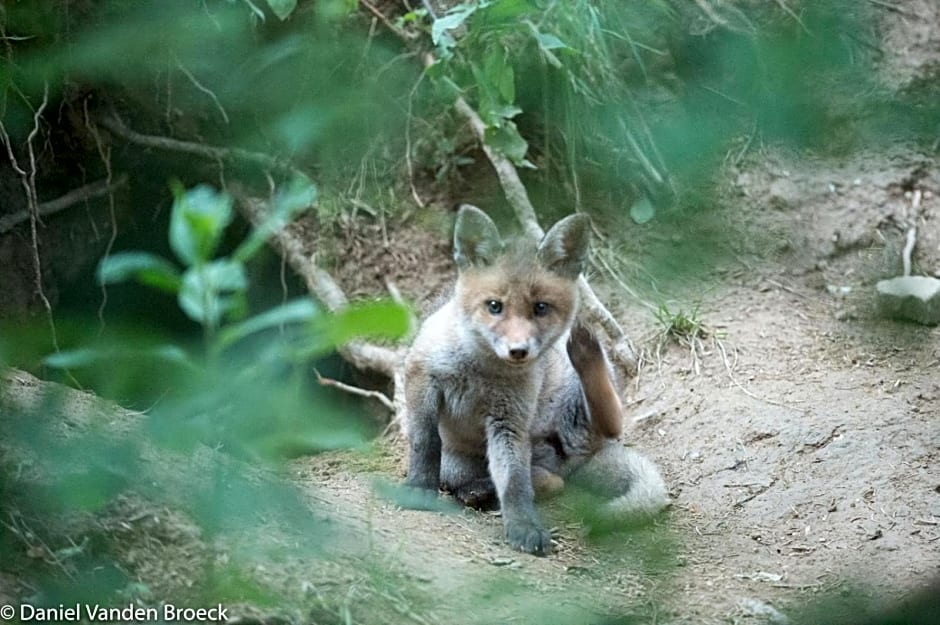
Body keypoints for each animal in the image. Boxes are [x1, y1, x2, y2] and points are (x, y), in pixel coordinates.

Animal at [406, 206, 668, 556]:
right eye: (494, 306)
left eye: (540, 307)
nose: (519, 350)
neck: (479, 370)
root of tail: (576, 462)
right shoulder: (421, 379)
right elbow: (425, 444)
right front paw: (418, 489)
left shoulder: (510, 419)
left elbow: (515, 482)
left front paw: (523, 527)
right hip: (457, 464)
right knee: (532, 479)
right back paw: (480, 491)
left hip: (574, 408)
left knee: (605, 428)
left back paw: (586, 352)